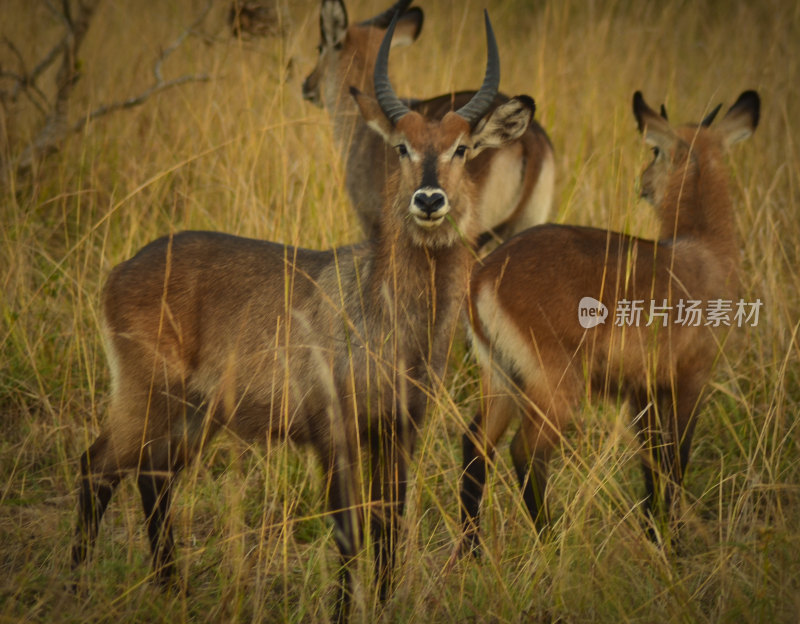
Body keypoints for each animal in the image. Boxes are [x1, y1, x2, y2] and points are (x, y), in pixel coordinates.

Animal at [69, 9, 532, 620]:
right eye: (402, 147)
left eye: (461, 147)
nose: (430, 200)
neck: (389, 312)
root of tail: (121, 270)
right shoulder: (333, 432)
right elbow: (348, 534)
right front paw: (343, 612)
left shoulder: (399, 431)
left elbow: (389, 526)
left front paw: (385, 602)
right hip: (148, 396)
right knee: (96, 467)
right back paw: (76, 585)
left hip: (193, 413)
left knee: (153, 474)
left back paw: (172, 587)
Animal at [454, 90, 760, 560]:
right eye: (655, 149)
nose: (643, 184)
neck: (705, 251)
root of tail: (484, 274)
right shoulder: (691, 380)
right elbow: (676, 460)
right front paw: (673, 544)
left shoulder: (642, 392)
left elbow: (652, 462)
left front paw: (656, 535)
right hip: (554, 387)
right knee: (525, 452)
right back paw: (552, 543)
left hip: (501, 379)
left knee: (475, 446)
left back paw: (473, 553)